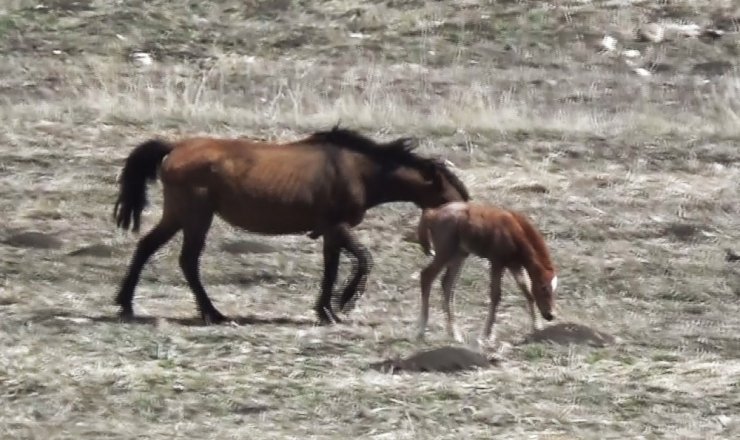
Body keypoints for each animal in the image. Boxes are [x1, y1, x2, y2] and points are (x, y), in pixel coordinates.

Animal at [112, 125, 468, 324]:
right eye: (449, 195)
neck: (358, 169)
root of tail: (175, 147)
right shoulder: (336, 226)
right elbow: (363, 259)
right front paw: (345, 302)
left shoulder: (330, 233)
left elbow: (331, 269)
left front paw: (326, 311)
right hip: (197, 217)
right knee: (188, 261)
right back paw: (212, 313)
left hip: (177, 215)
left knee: (146, 247)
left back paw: (126, 304)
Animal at [416, 201, 556, 346]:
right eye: (543, 287)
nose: (551, 315)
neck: (514, 230)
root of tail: (433, 213)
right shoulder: (497, 262)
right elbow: (495, 295)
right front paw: (485, 335)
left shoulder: (515, 265)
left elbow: (527, 291)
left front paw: (537, 326)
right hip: (445, 252)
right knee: (426, 276)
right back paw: (421, 331)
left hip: (459, 254)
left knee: (447, 284)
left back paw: (455, 335)